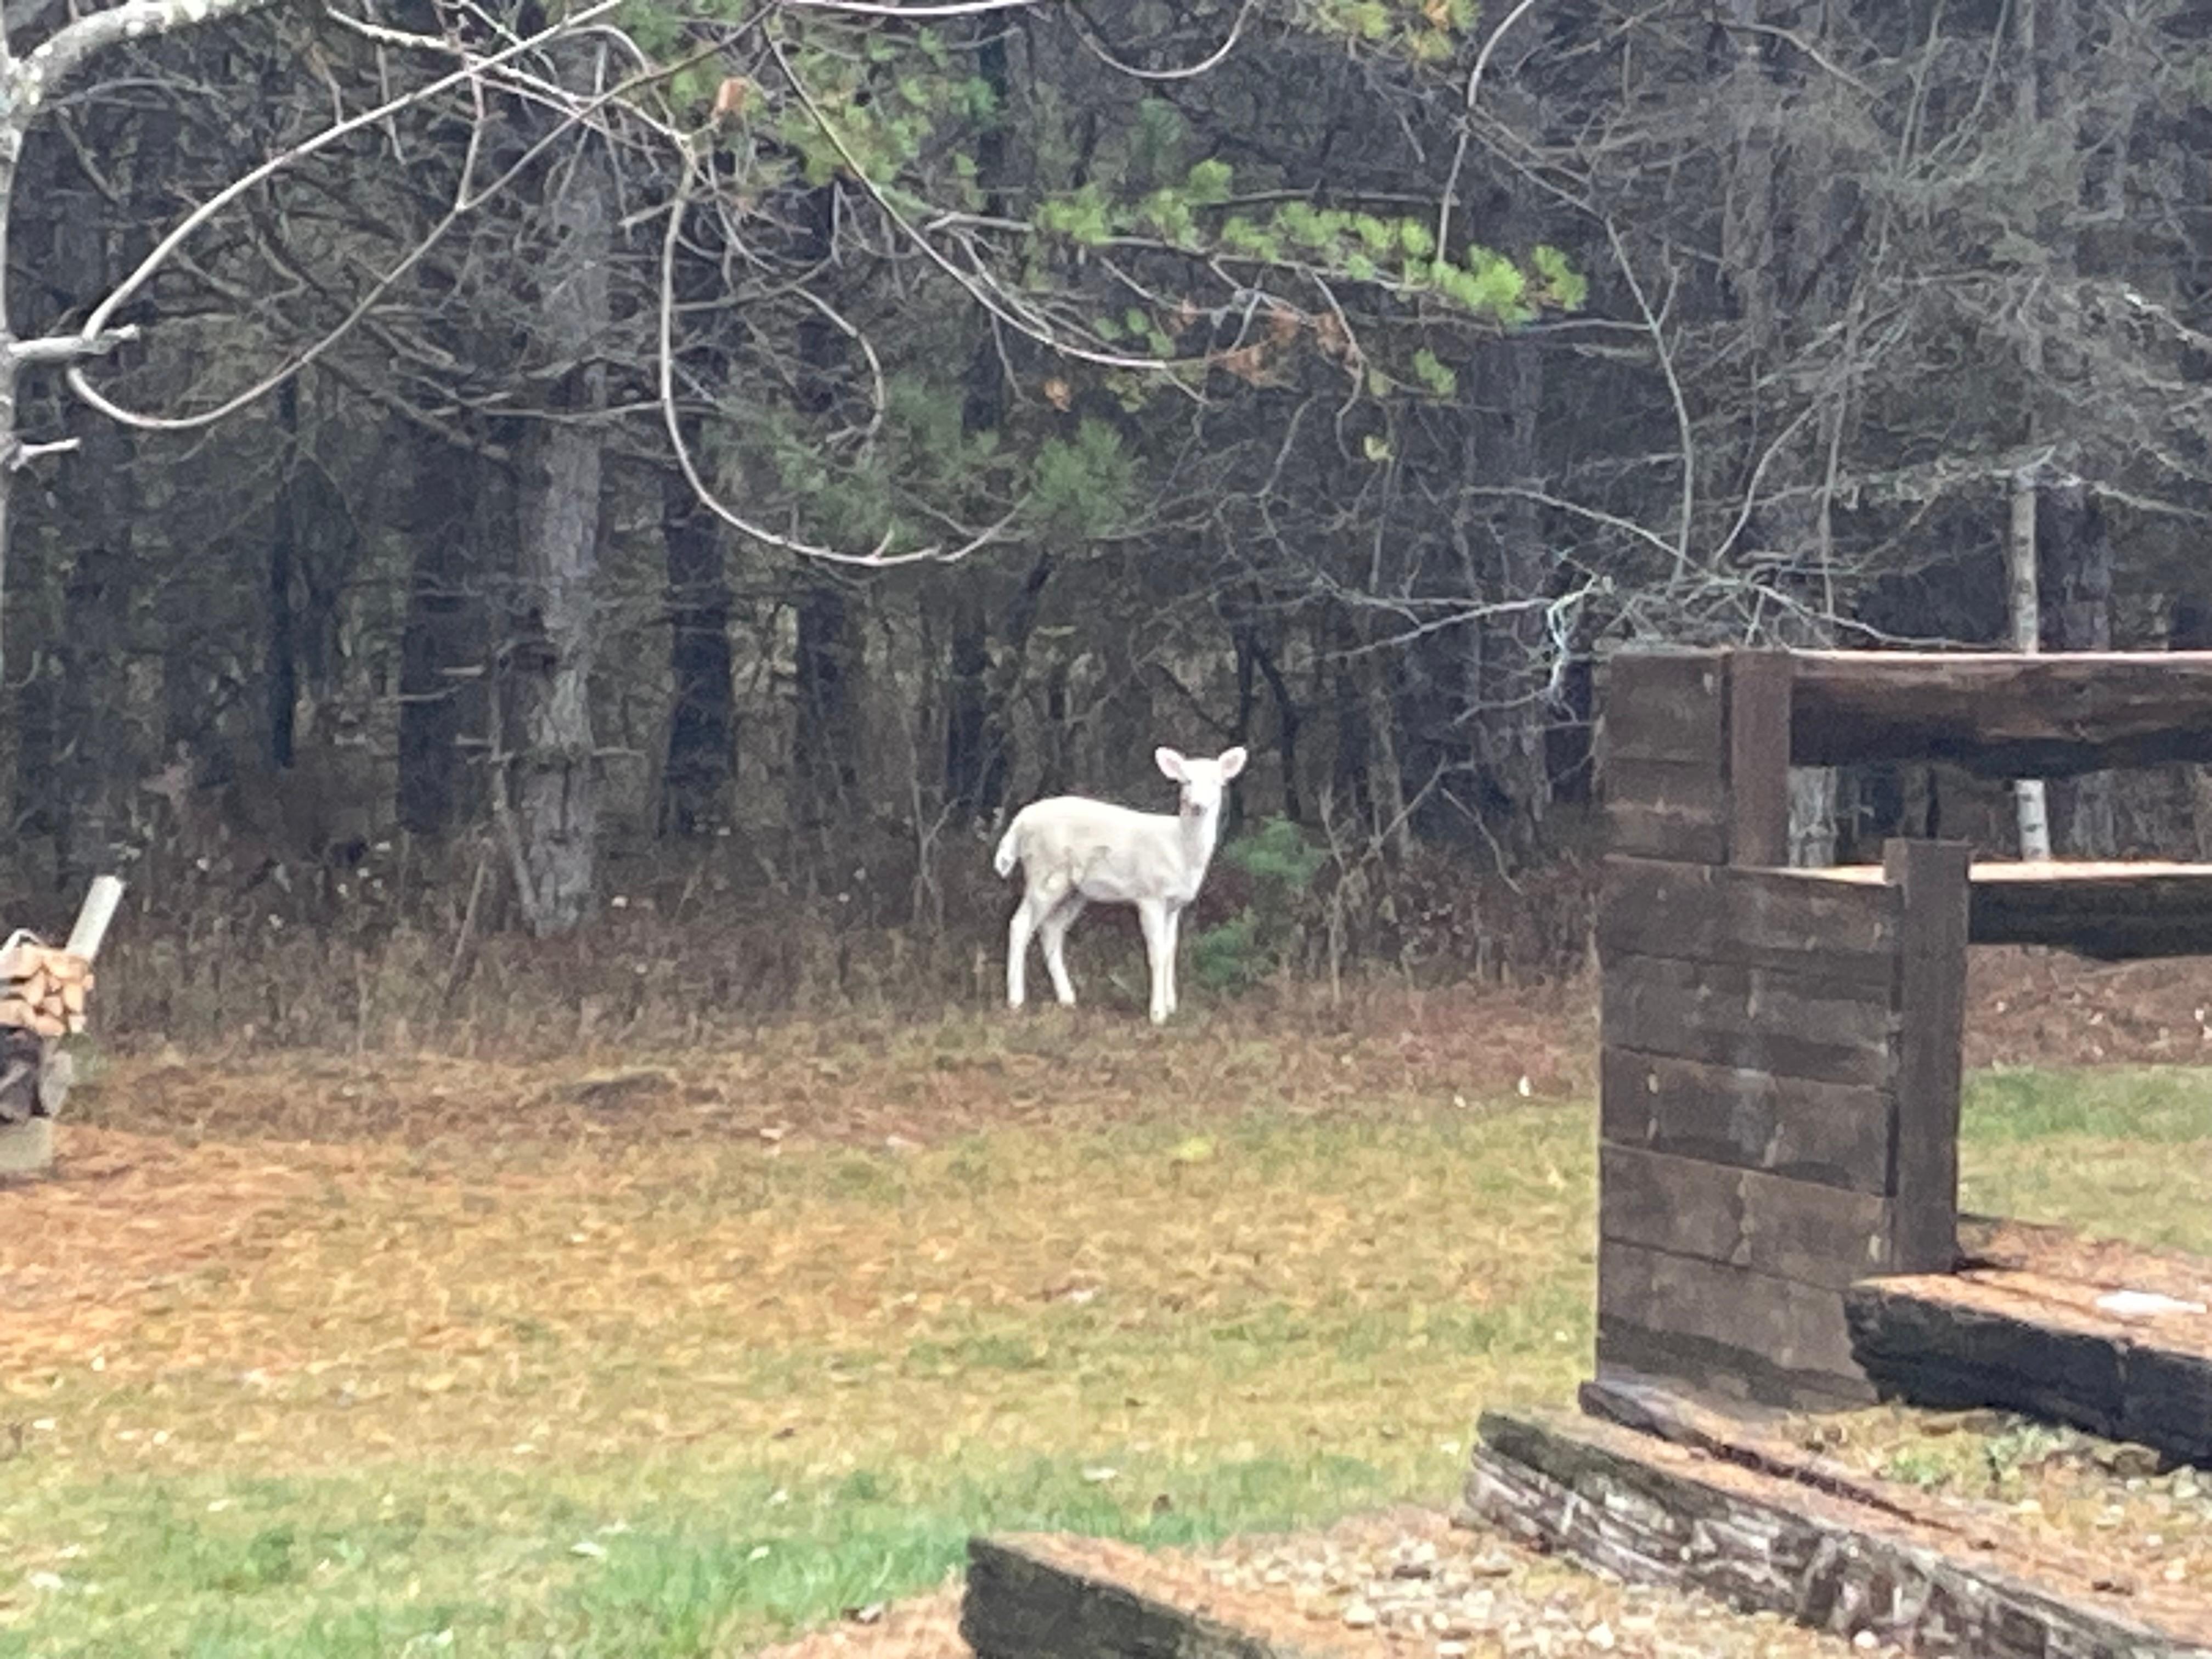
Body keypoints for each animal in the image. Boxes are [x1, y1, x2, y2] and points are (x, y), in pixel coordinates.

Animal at [993, 745, 1247, 1025]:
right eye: (1186, 781)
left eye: (1217, 782)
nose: (1198, 805)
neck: (1180, 848)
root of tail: (1019, 822)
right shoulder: (1150, 894)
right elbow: (1156, 953)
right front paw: (1157, 1014)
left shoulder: (1174, 905)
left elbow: (1170, 951)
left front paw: (1172, 1007)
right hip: (1044, 870)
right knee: (1020, 924)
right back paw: (1016, 1001)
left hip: (1074, 890)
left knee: (1051, 930)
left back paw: (1067, 999)